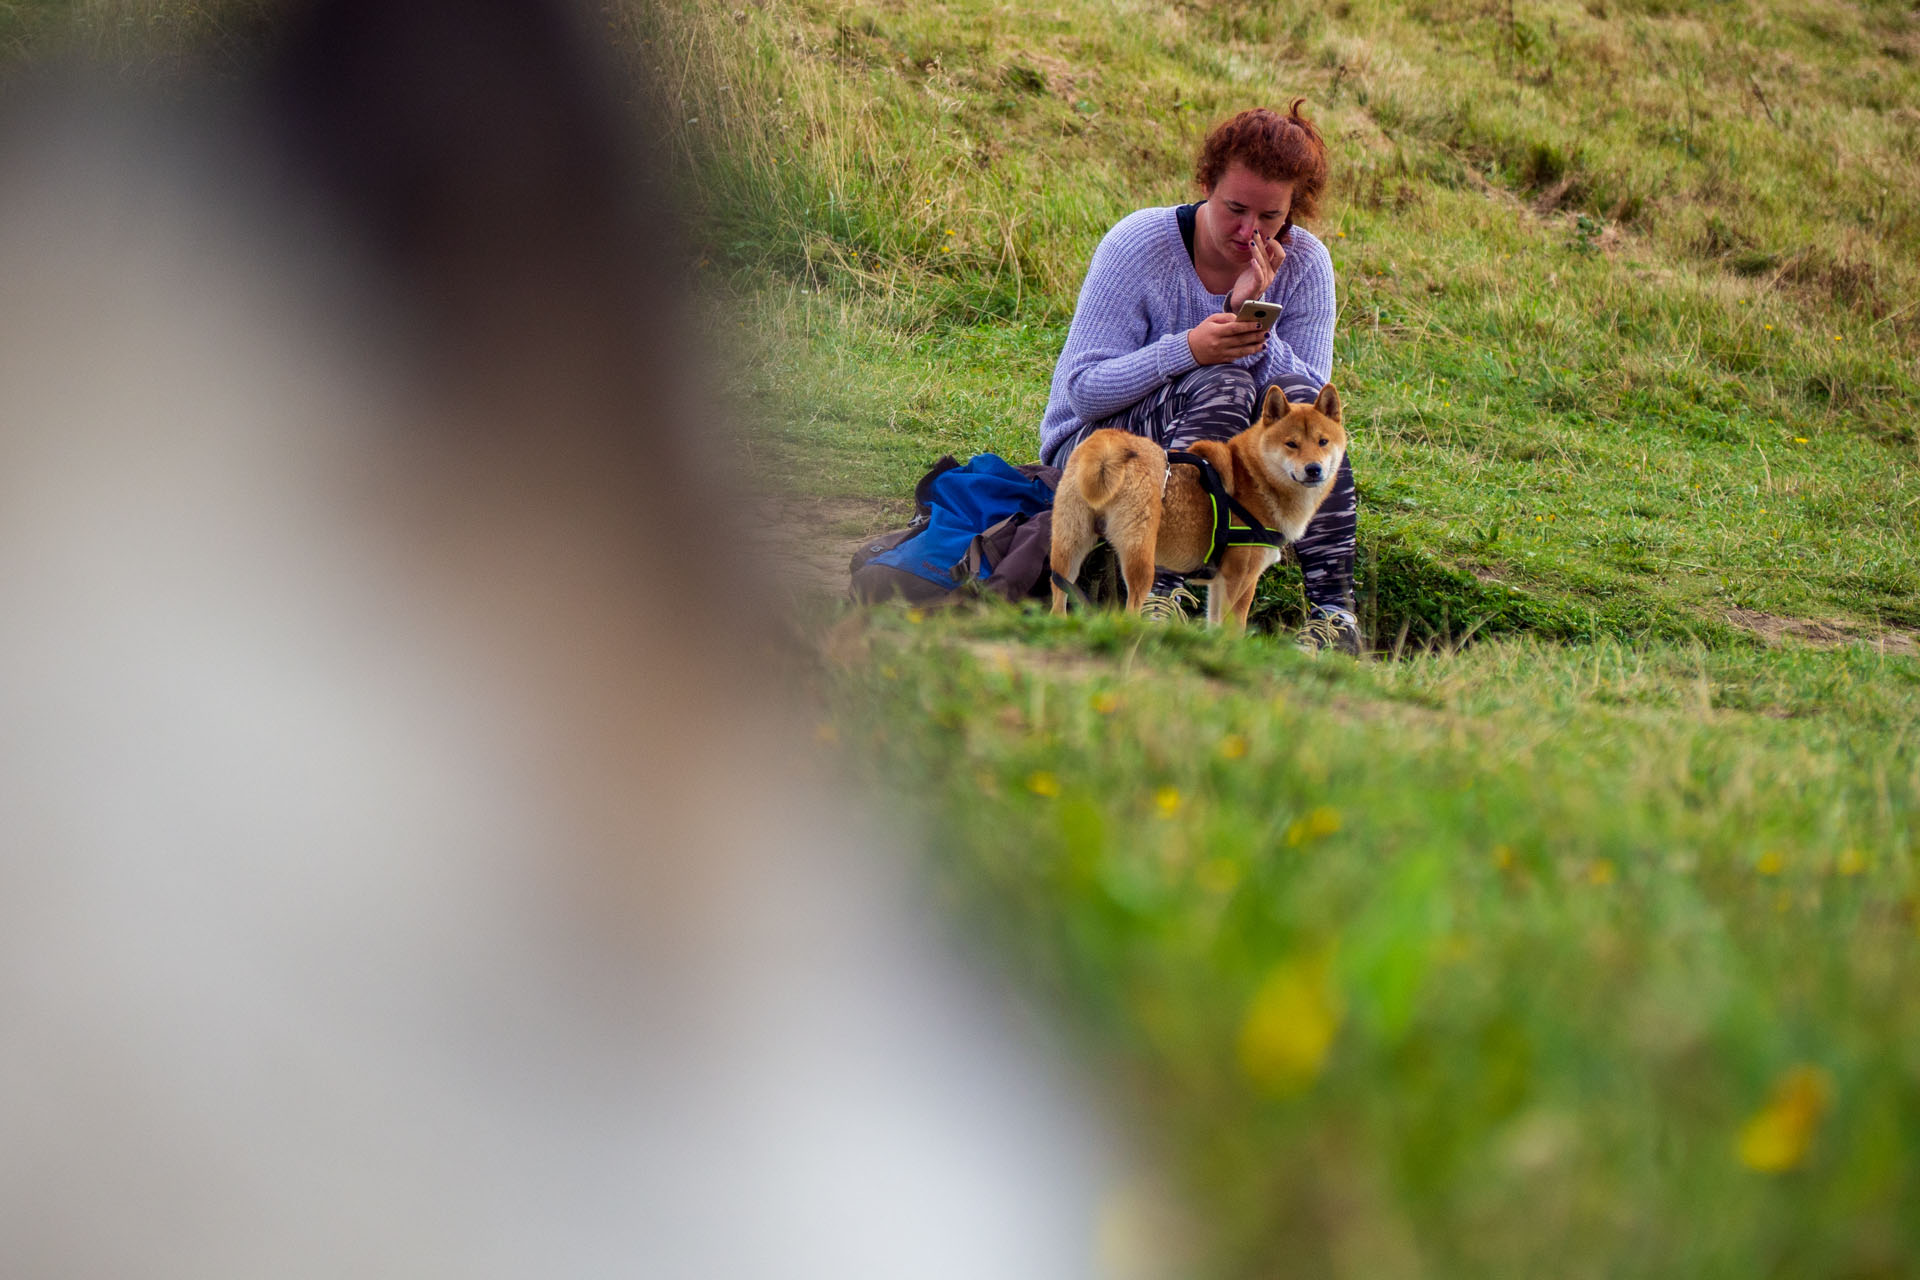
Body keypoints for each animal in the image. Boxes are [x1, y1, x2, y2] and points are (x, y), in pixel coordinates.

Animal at [1052, 387, 1351, 633]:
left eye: (1323, 442)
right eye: (1291, 444)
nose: (1314, 469)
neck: (1255, 477)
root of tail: (1109, 443)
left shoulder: (1219, 583)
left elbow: (1214, 626)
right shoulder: (1241, 578)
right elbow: (1234, 630)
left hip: (1068, 546)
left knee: (1058, 598)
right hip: (1141, 559)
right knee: (1130, 609)